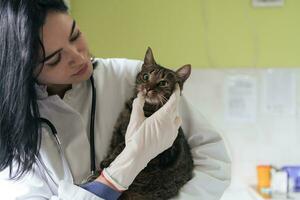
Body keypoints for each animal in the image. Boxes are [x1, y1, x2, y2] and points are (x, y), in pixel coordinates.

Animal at [100, 47, 195, 199]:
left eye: (163, 83)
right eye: (145, 77)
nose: (148, 88)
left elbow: (122, 148)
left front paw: (108, 163)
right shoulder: (116, 132)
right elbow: (114, 147)